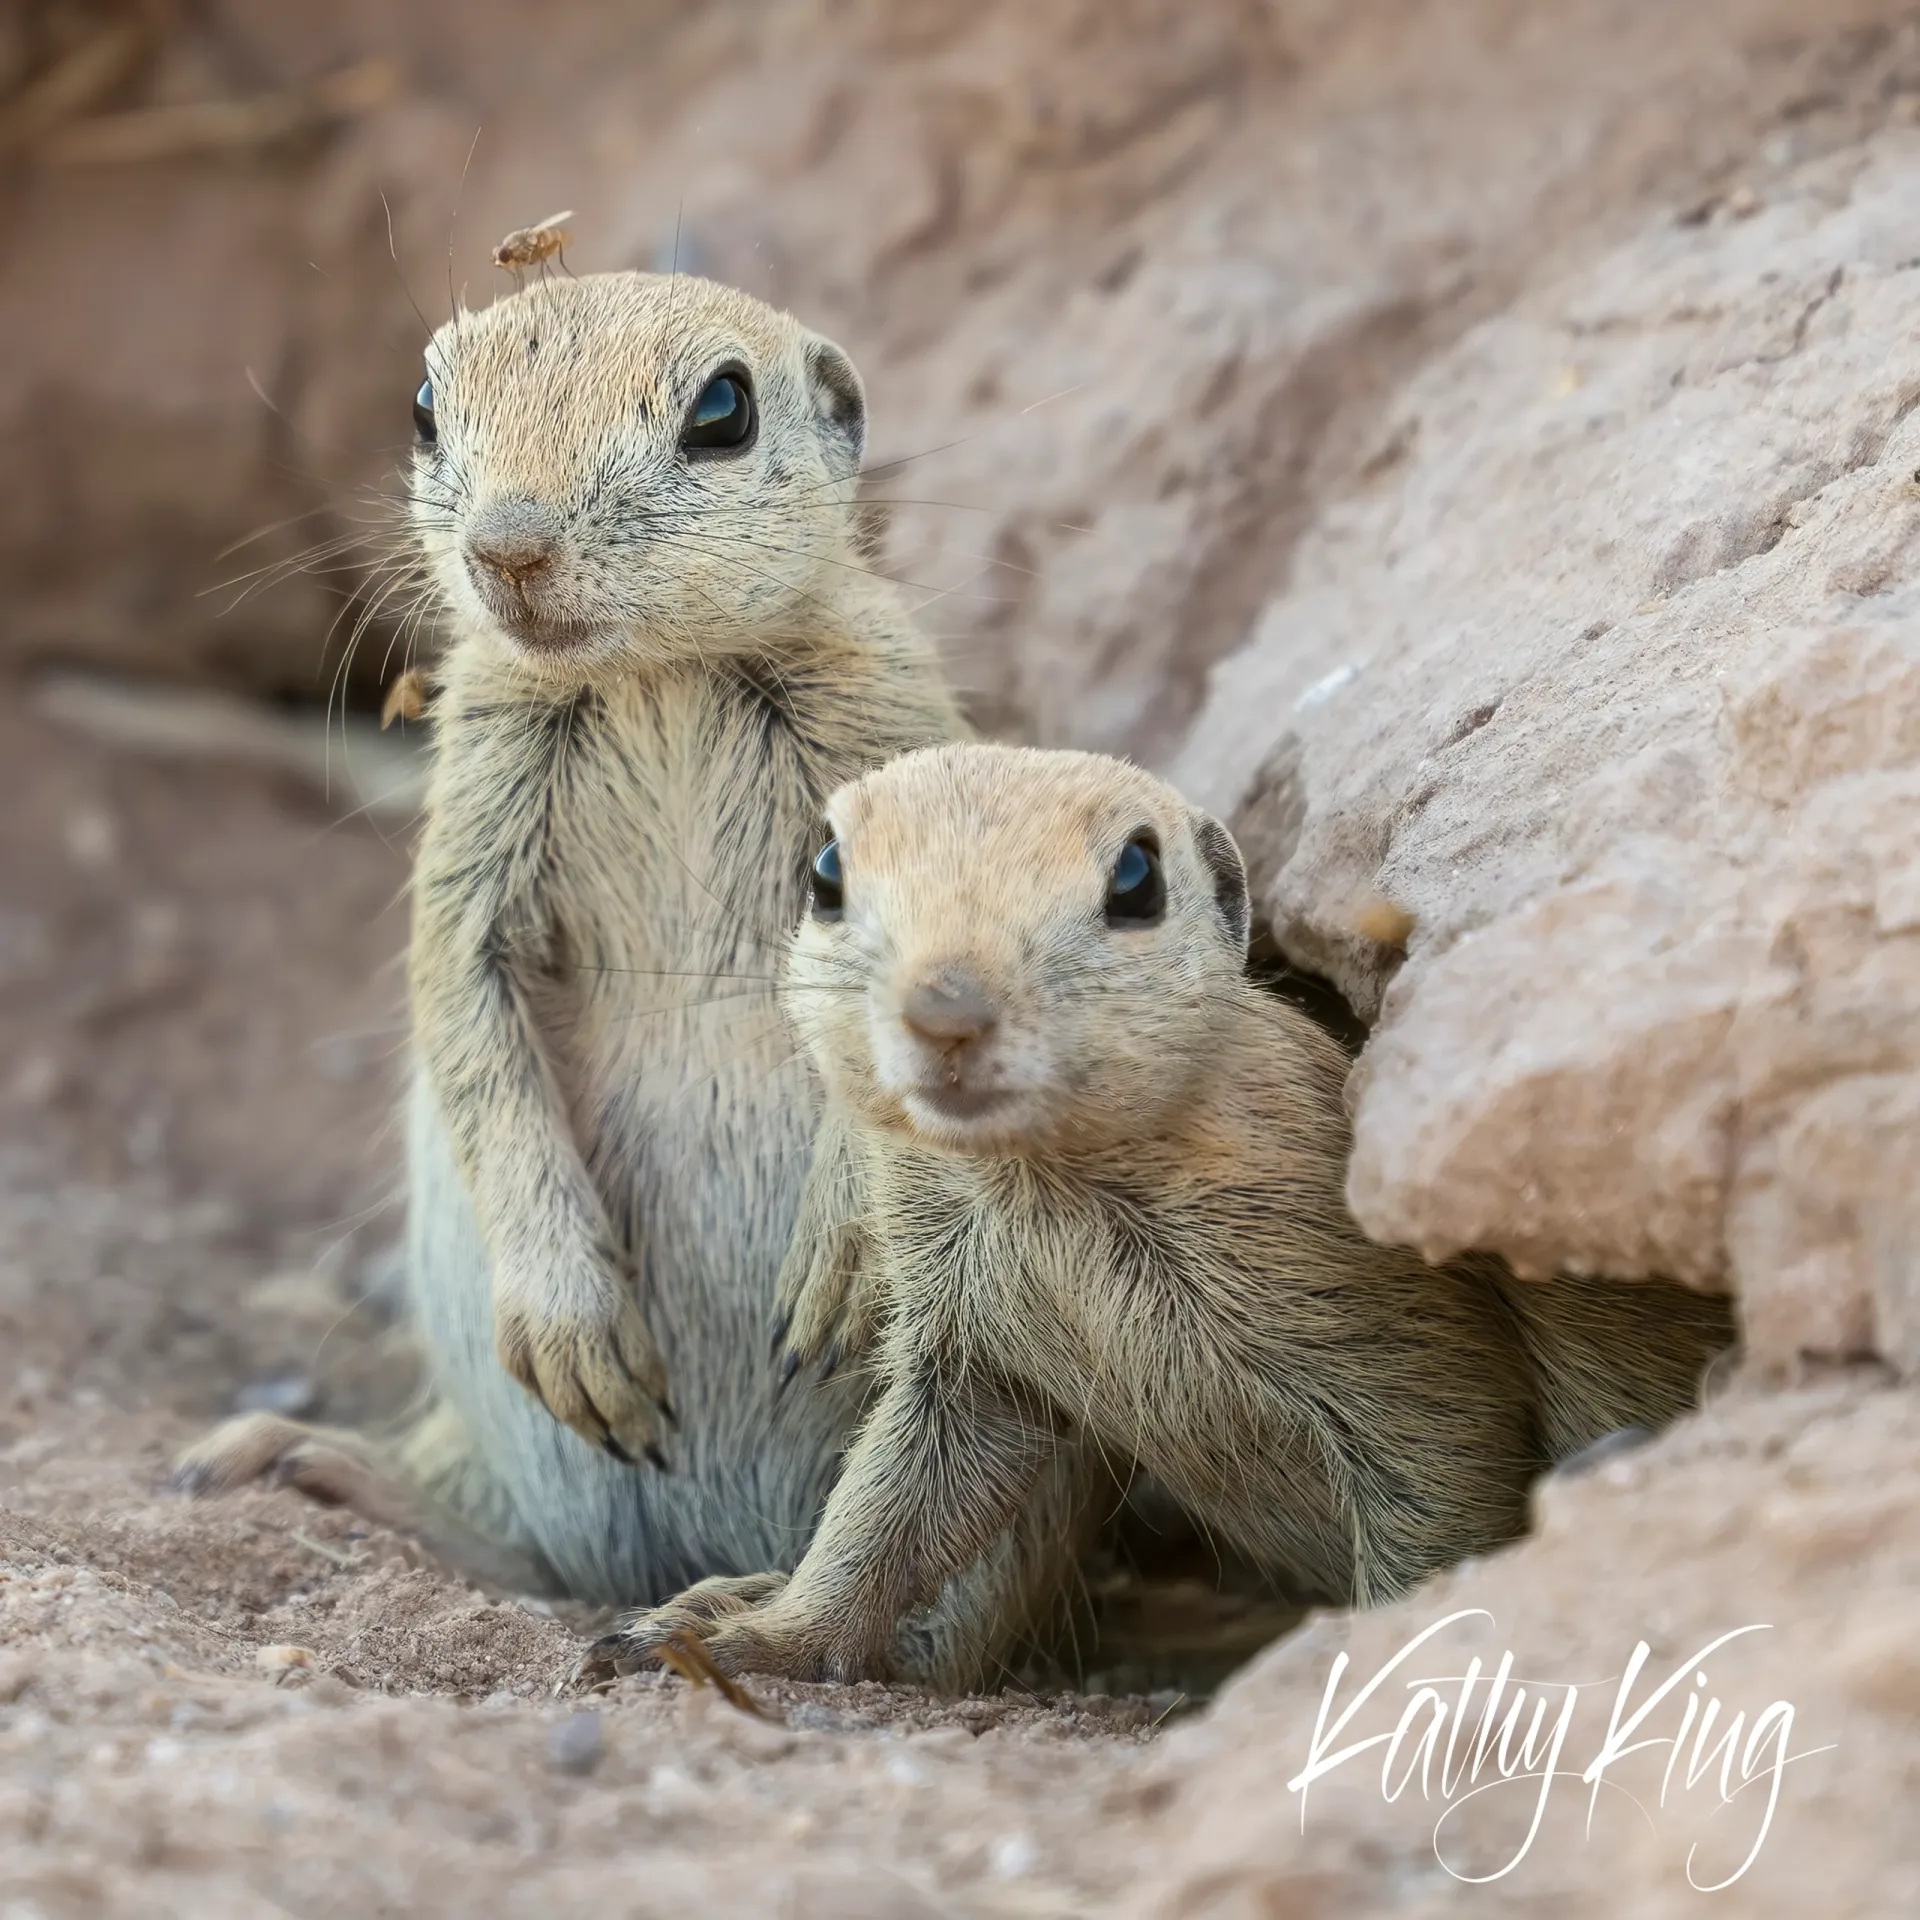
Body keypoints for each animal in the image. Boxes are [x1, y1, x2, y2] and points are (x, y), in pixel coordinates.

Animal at [172, 267, 965, 1606]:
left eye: (722, 409)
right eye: (425, 406)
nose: (508, 547)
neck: (660, 675)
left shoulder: (890, 737)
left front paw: (839, 1262)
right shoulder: (477, 810)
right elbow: (462, 1003)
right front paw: (574, 1327)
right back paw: (305, 1464)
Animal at [578, 744, 1735, 1688]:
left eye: (1137, 878)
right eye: (825, 871)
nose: (946, 1009)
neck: (1041, 1191)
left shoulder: (1399, 1342)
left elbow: (1441, 1489)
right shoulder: (966, 1356)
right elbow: (885, 1507)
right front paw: (764, 1633)